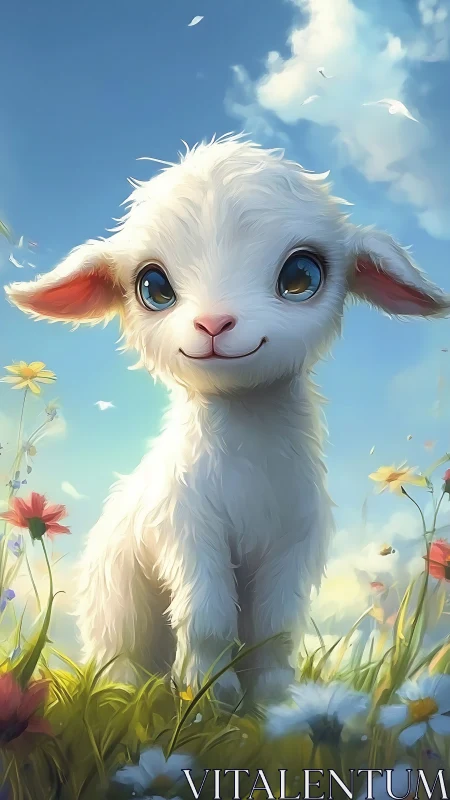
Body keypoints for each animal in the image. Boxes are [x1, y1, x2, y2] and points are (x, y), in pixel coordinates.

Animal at [5, 134, 450, 704]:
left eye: (301, 276)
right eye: (153, 286)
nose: (213, 323)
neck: (248, 455)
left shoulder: (294, 541)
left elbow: (276, 628)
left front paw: (279, 700)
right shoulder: (189, 531)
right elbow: (208, 619)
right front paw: (207, 695)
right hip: (117, 606)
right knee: (120, 654)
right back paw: (126, 693)